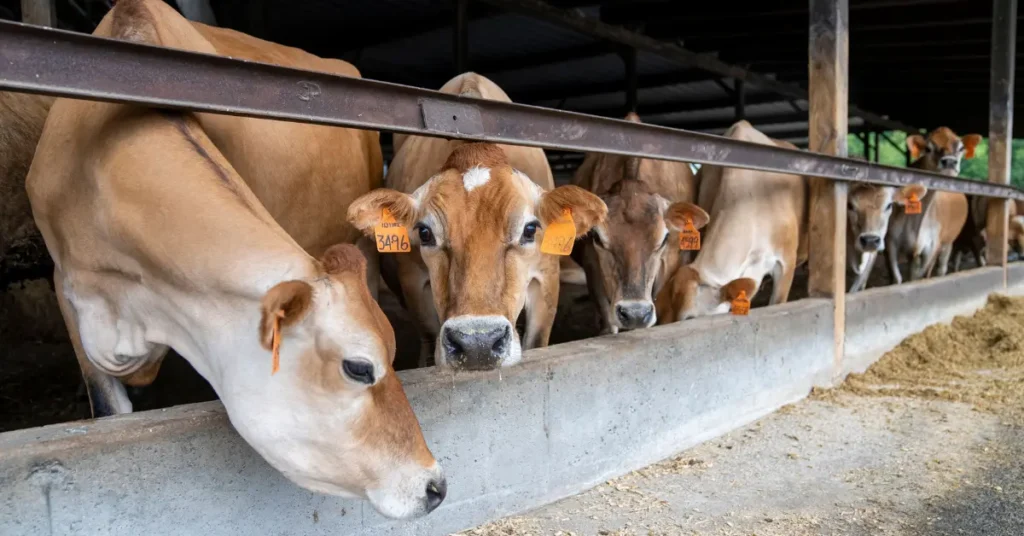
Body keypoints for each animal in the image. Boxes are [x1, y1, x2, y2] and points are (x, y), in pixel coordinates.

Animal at [349, 74, 606, 370]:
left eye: (530, 229)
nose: (477, 344)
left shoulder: (548, 277)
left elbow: (537, 340)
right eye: (424, 233)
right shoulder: (411, 280)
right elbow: (428, 333)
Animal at [571, 113, 702, 333]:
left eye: (664, 238)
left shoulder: (670, 261)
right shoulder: (591, 264)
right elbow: (608, 319)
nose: (635, 314)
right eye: (597, 237)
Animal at [882, 128, 977, 283]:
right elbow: (897, 278)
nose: (949, 161)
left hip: (948, 242)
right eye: (928, 148)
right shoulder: (890, 242)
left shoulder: (930, 248)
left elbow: (919, 276)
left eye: (961, 148)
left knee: (941, 268)